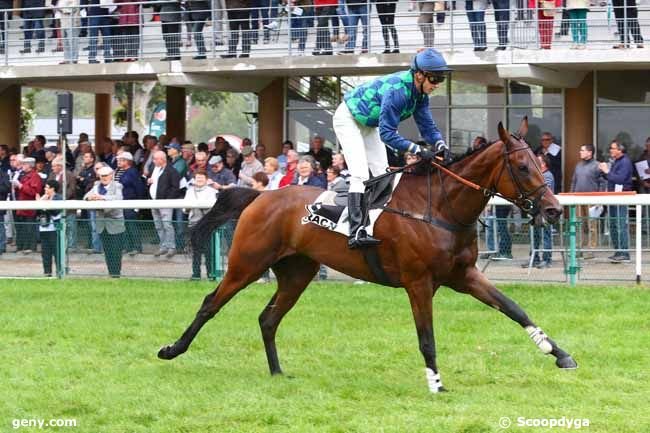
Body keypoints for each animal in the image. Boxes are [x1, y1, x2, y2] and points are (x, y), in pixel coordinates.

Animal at [158, 119, 577, 393]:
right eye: (522, 166)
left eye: (541, 163)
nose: (554, 210)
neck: (440, 208)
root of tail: (261, 195)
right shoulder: (418, 282)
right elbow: (427, 337)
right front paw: (436, 382)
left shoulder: (464, 276)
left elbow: (514, 308)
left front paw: (558, 353)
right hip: (247, 263)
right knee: (211, 303)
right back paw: (172, 349)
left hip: (297, 273)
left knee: (268, 318)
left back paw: (278, 373)